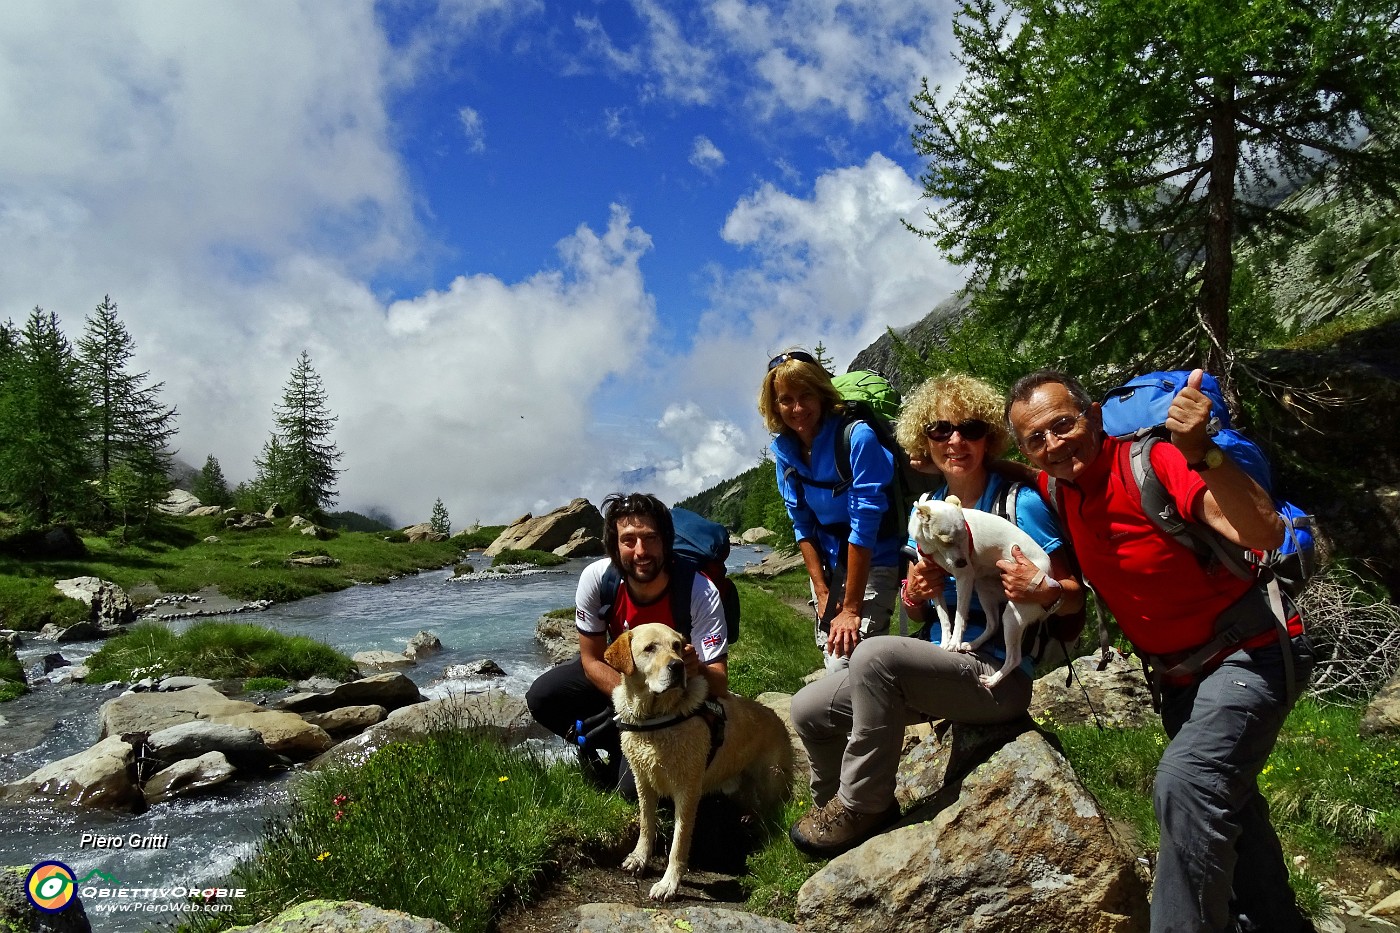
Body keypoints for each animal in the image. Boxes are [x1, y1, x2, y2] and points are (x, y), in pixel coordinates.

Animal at [607, 622, 795, 896]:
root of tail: (777, 717)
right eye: (650, 648)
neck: (655, 719)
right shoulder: (643, 781)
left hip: (772, 781)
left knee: (776, 810)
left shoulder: (687, 789)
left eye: (677, 646)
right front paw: (639, 858)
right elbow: (646, 824)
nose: (677, 666)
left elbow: (679, 841)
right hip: (738, 785)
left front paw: (669, 883)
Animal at [907, 493, 1052, 683]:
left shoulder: (964, 578)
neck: (934, 550)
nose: (962, 562)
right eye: (947, 541)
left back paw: (992, 680)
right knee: (993, 624)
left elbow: (959, 616)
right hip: (984, 591)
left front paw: (954, 642)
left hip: (1014, 615)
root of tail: (1049, 575)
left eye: (965, 538)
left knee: (1014, 658)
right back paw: (972, 644)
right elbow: (944, 617)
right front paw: (946, 640)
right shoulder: (934, 582)